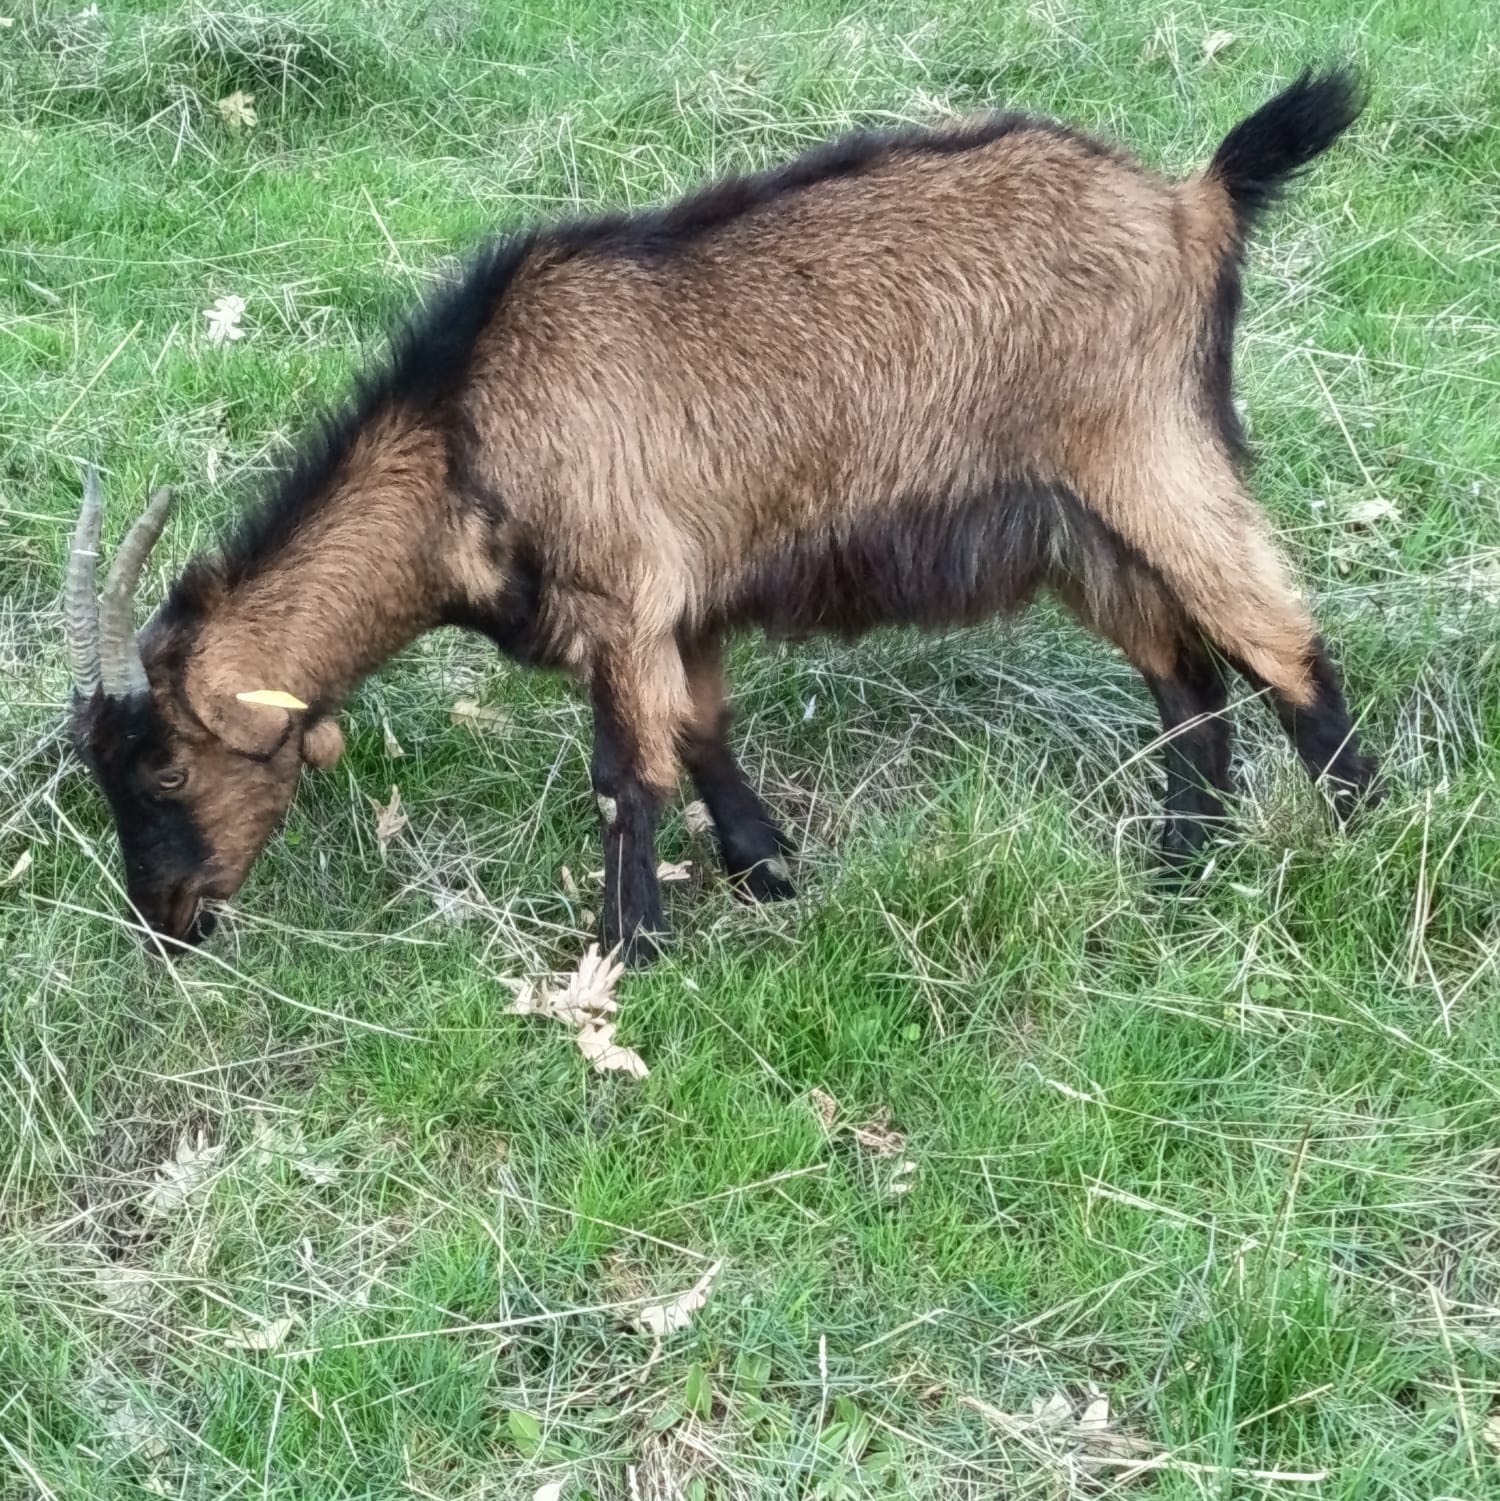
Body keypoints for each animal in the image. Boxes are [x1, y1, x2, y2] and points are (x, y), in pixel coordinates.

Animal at [66, 68, 1380, 962]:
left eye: (164, 768)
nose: (167, 916)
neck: (462, 437)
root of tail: (1191, 205)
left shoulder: (624, 598)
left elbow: (624, 777)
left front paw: (622, 957)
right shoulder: (682, 608)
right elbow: (698, 736)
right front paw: (770, 872)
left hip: (1153, 458)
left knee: (1280, 642)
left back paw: (1363, 843)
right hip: (1073, 529)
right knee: (1185, 678)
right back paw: (1179, 873)